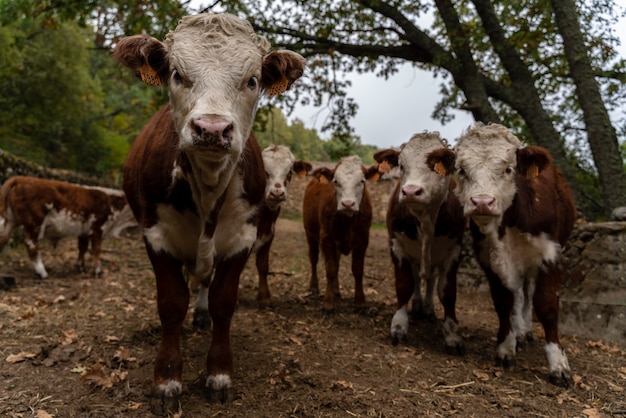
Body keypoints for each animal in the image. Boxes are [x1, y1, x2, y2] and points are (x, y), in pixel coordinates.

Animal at [0, 175, 135, 280]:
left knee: (4, 238)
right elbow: (96, 250)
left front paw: (80, 267)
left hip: (10, 221)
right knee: (31, 244)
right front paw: (97, 270)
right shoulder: (98, 227)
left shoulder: (84, 231)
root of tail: (21, 178)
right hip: (34, 223)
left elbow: (82, 248)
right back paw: (42, 272)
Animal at [115, 11, 304, 414]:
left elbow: (223, 301)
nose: (212, 129)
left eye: (252, 80)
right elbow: (172, 304)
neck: (208, 185)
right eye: (176, 74)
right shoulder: (156, 234)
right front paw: (167, 380)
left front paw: (219, 373)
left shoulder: (243, 236)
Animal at [302, 156, 376, 310]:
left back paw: (336, 290)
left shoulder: (363, 239)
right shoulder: (327, 237)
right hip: (310, 233)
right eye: (335, 181)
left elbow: (357, 270)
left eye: (362, 181)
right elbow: (330, 269)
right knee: (314, 258)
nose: (348, 204)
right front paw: (328, 302)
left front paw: (360, 301)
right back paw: (314, 287)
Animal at [370, 132, 464, 354]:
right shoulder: (397, 245)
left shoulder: (454, 250)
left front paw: (452, 334)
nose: (411, 191)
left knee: (431, 280)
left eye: (435, 165)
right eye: (401, 165)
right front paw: (398, 326)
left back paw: (428, 308)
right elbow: (405, 285)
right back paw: (418, 304)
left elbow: (447, 292)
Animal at [450, 122, 572, 386]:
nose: (482, 202)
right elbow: (503, 302)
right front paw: (506, 347)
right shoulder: (489, 258)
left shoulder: (550, 256)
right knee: (518, 294)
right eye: (461, 170)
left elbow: (546, 306)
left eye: (508, 169)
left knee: (528, 293)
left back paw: (526, 331)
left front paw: (558, 364)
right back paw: (519, 333)